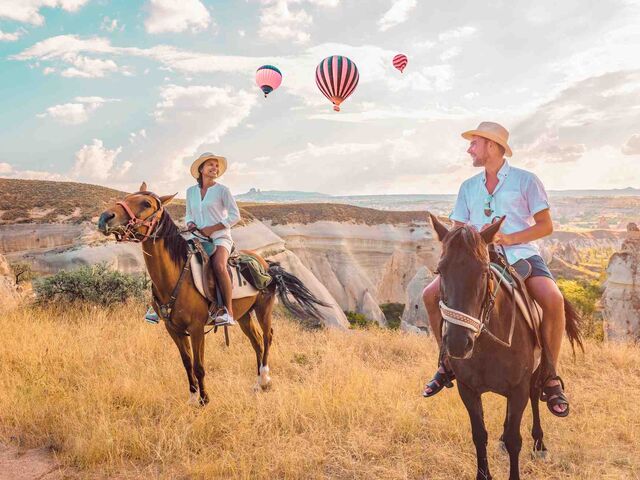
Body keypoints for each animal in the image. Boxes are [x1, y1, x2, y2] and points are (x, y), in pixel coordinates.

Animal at [99, 184, 330, 404]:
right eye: (127, 197)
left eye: (146, 204)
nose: (104, 218)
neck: (175, 276)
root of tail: (266, 263)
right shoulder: (173, 329)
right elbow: (187, 363)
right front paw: (192, 398)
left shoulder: (196, 328)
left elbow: (199, 365)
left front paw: (204, 400)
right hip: (243, 315)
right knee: (256, 340)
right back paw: (257, 384)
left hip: (264, 308)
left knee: (267, 336)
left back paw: (265, 378)